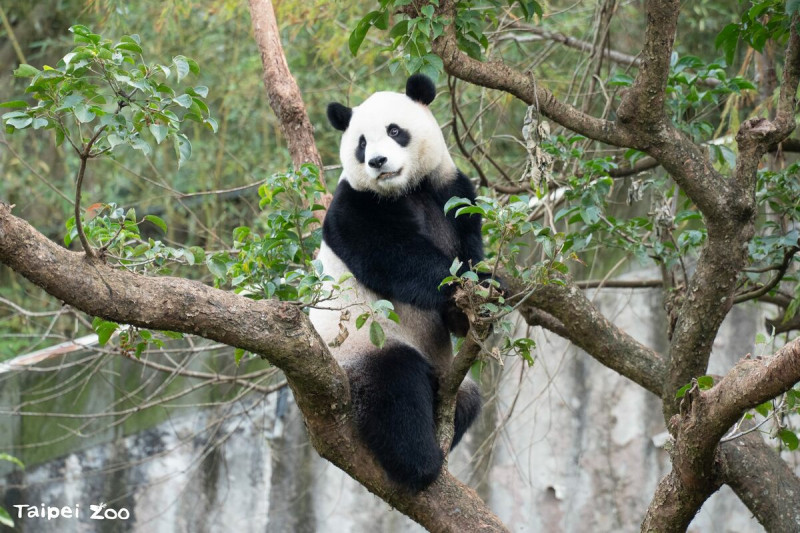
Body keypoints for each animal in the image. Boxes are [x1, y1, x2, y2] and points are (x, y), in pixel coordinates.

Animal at [312, 74, 484, 490]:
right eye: (361, 143)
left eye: (394, 130)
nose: (378, 162)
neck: (406, 190)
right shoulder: (354, 204)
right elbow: (391, 257)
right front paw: (466, 288)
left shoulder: (451, 190)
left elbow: (468, 244)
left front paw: (472, 304)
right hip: (361, 348)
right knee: (395, 390)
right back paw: (420, 464)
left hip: (448, 376)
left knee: (469, 399)